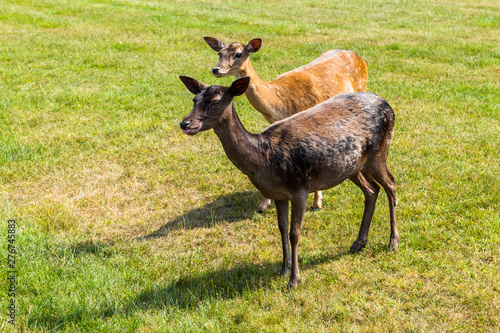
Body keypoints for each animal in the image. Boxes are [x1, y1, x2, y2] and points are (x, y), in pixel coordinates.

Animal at [179, 75, 398, 288]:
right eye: (194, 99)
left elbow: (294, 232)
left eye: (216, 102)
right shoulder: (279, 194)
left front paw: (294, 279)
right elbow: (282, 228)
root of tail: (387, 104)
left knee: (391, 183)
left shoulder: (300, 188)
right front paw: (284, 268)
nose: (185, 123)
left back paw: (393, 242)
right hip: (352, 166)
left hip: (379, 151)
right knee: (372, 190)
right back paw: (359, 243)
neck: (265, 158)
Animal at [205, 36, 370, 213]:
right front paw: (263, 204)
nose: (216, 69)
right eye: (219, 53)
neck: (280, 104)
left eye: (238, 54)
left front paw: (317, 203)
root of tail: (361, 58)